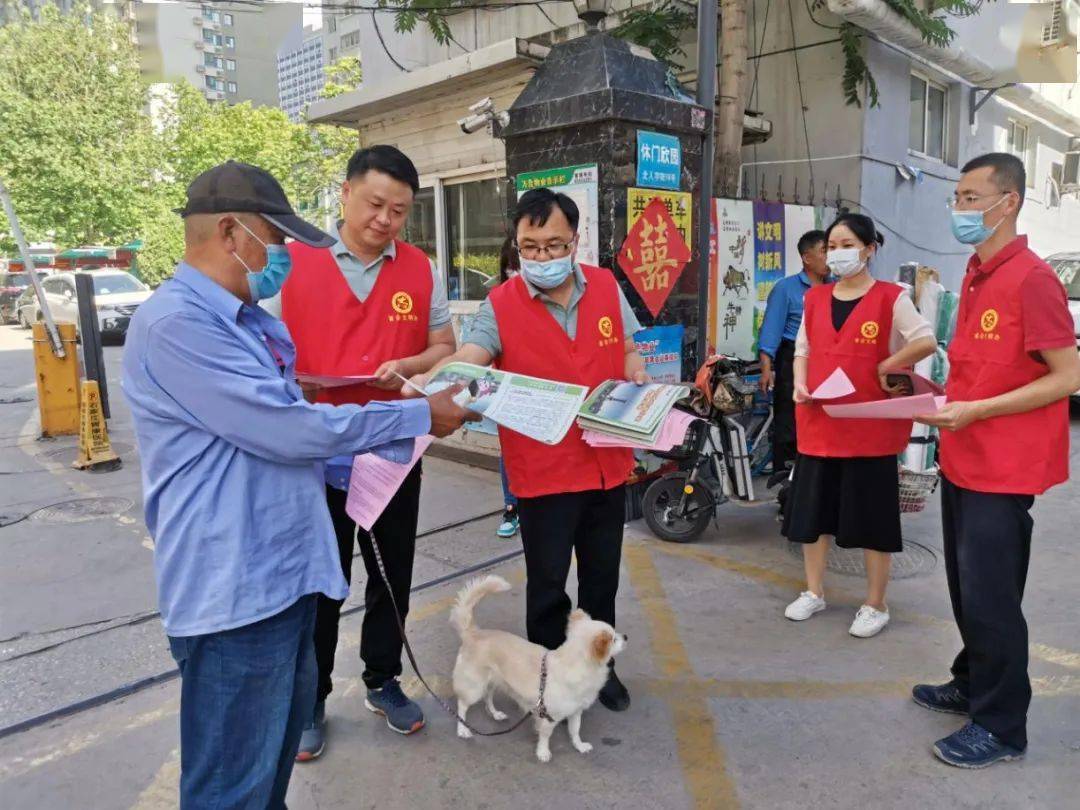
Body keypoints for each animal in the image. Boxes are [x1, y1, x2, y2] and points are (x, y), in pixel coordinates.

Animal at [451, 578, 630, 760]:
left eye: (616, 635)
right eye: (614, 639)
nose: (626, 637)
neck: (576, 664)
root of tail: (473, 633)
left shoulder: (575, 711)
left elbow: (575, 730)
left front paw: (579, 746)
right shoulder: (548, 717)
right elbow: (545, 736)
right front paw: (543, 752)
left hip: (493, 681)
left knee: (488, 697)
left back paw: (495, 714)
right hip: (474, 688)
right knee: (462, 705)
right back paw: (462, 729)